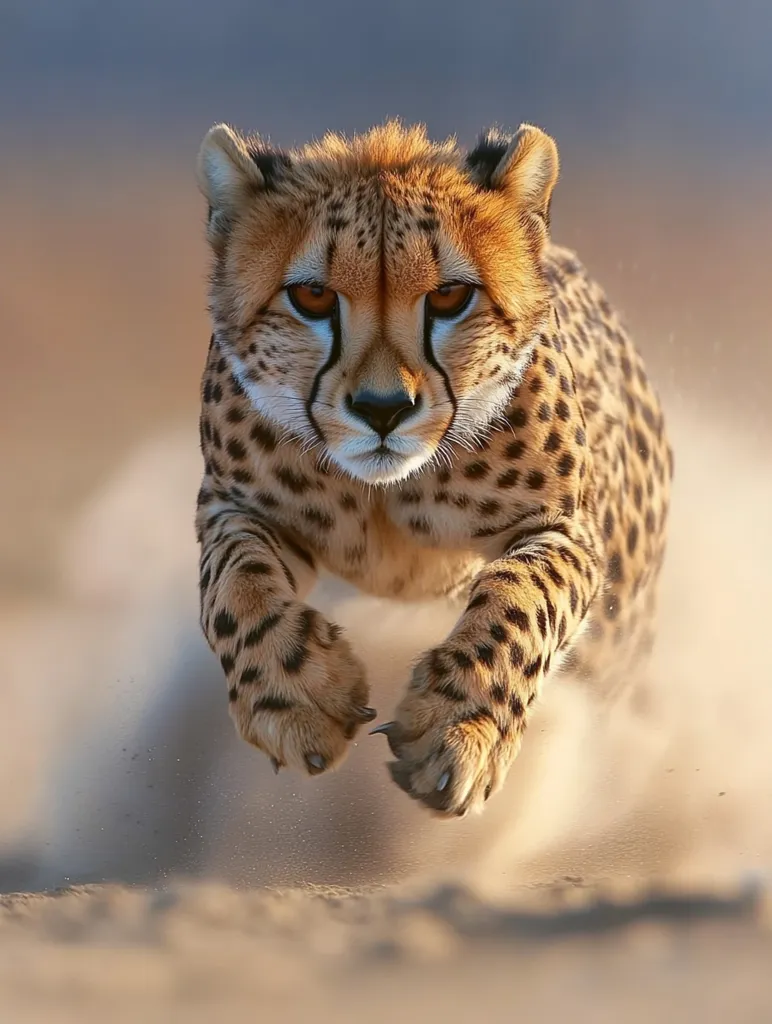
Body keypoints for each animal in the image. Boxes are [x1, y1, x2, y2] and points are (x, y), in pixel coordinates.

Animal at [194, 119, 673, 818]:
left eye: (449, 296)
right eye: (312, 296)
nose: (382, 408)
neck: (386, 490)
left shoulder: (566, 529)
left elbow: (521, 599)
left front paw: (459, 727)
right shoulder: (235, 504)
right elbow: (236, 585)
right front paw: (294, 695)